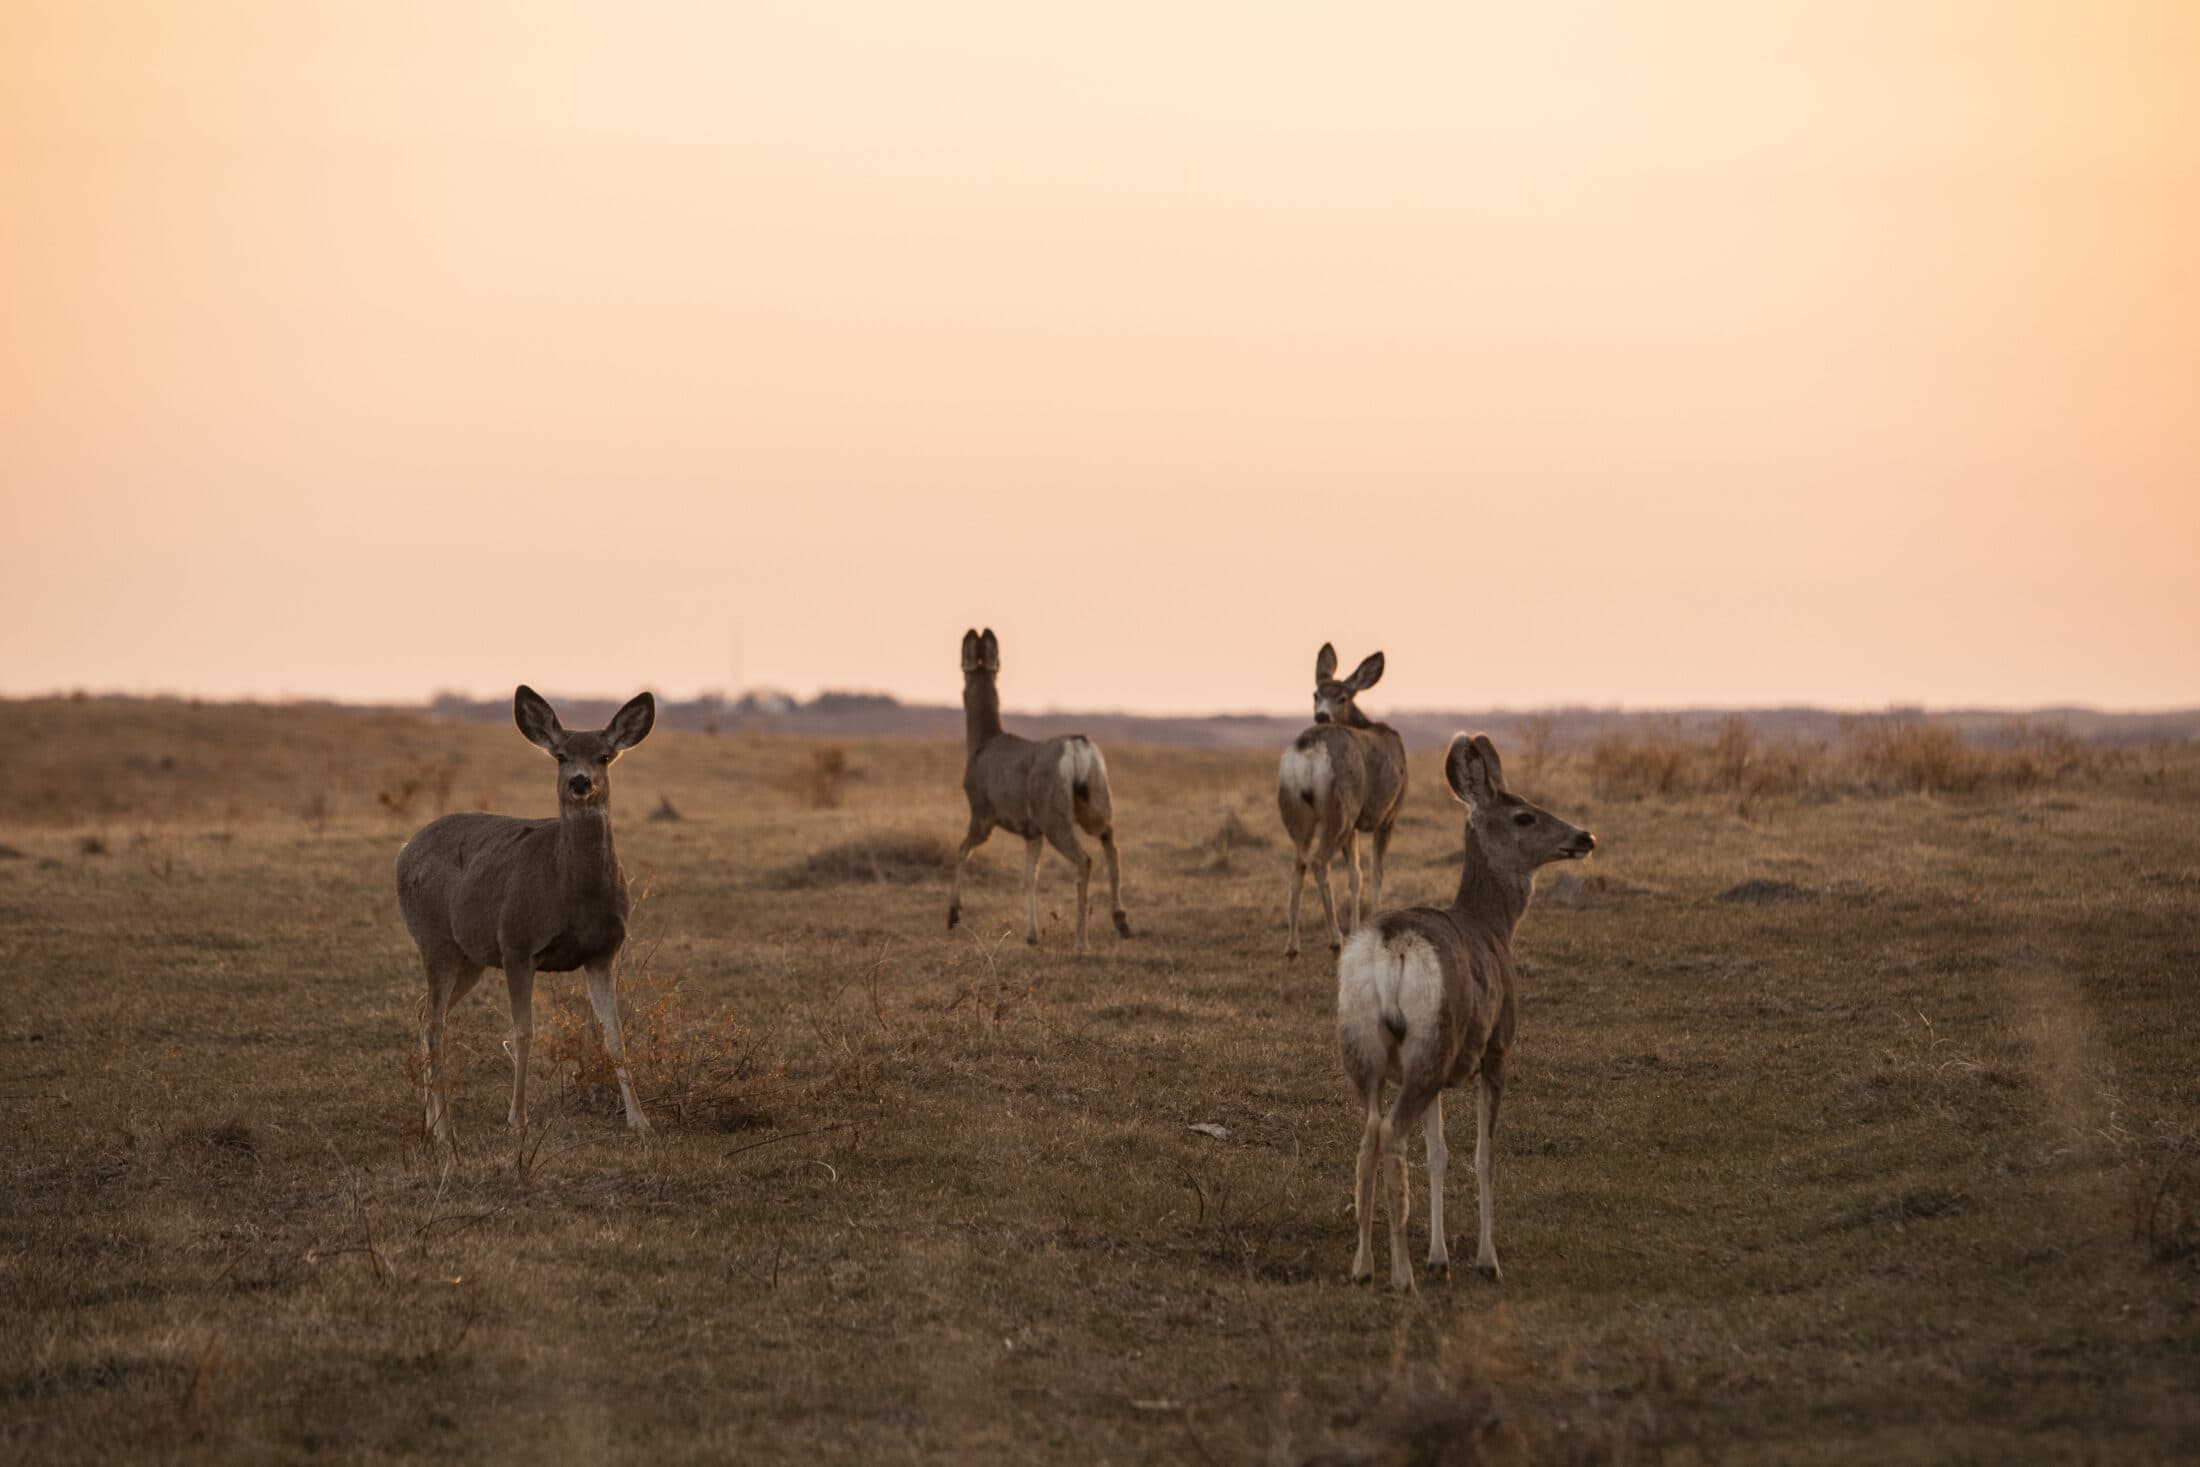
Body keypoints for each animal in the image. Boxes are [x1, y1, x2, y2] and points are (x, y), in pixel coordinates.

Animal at [398, 686, 655, 1143]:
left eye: (605, 755)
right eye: (561, 755)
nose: (580, 780)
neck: (572, 894)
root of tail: (403, 851)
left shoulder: (602, 952)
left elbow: (615, 1033)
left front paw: (640, 1120)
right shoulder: (517, 942)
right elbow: (523, 1031)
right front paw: (517, 1119)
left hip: (471, 956)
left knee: (424, 1012)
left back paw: (430, 1122)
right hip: (434, 939)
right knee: (434, 1023)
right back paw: (444, 1130)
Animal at [941, 629, 1126, 954]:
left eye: (963, 683)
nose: (960, 695)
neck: (981, 746)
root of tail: (1078, 746)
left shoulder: (982, 812)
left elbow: (962, 850)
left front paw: (953, 914)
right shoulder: (1032, 831)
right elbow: (1030, 878)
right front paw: (1031, 935)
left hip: (1052, 814)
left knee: (1084, 859)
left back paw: (1082, 942)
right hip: (1094, 801)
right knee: (1110, 838)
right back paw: (1120, 920)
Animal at [1276, 646, 1408, 958]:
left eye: (1342, 697)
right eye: (1316, 694)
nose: (1322, 715)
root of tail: (1309, 750)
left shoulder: (1357, 824)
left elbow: (1355, 875)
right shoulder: (1387, 816)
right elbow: (1375, 873)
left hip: (1295, 808)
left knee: (1298, 861)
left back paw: (1292, 946)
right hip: (1340, 808)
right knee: (1318, 861)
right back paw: (1335, 939)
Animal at [1328, 730, 1592, 1284]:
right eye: (1525, 816)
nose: (1585, 837)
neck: (1493, 927)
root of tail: (1393, 946)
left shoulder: (1443, 1074)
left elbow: (1439, 1154)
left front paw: (1440, 1255)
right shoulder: (1497, 1051)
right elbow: (1484, 1155)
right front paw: (1487, 1259)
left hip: (1372, 1047)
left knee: (1367, 1136)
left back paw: (1363, 1266)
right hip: (1431, 1043)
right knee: (1391, 1134)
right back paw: (1400, 1274)